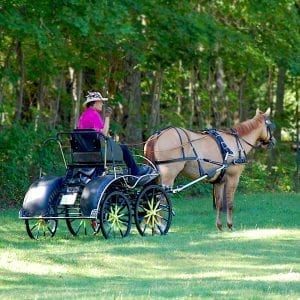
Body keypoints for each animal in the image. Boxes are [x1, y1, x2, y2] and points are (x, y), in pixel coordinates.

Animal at [144, 109, 276, 231]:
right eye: (270, 125)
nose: (273, 141)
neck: (236, 142)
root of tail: (157, 136)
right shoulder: (233, 177)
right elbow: (230, 203)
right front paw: (230, 225)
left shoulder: (219, 181)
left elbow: (219, 203)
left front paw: (219, 226)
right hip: (168, 175)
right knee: (161, 198)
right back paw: (161, 226)